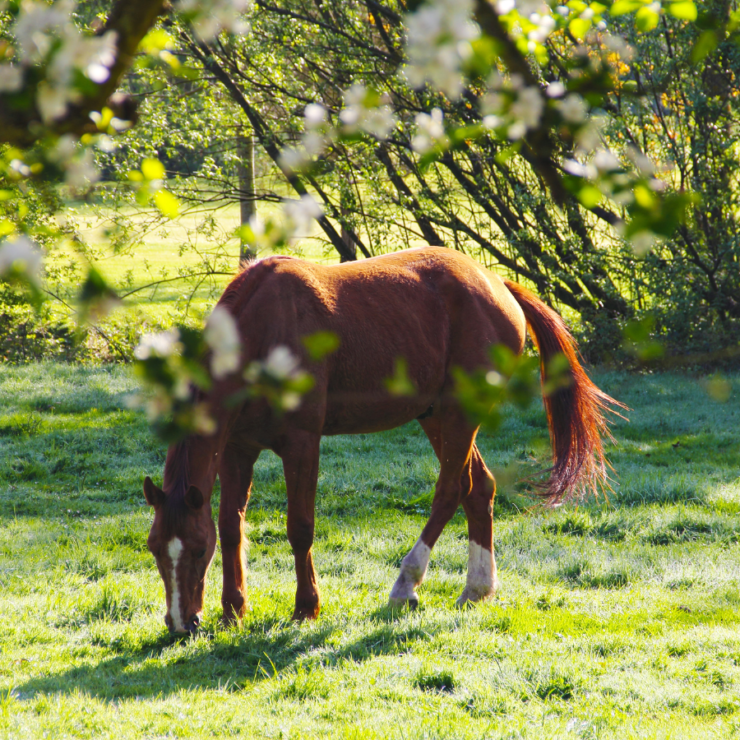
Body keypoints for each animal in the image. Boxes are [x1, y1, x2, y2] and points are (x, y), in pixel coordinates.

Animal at [142, 247, 616, 632]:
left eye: (197, 551)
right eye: (154, 550)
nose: (181, 625)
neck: (262, 333)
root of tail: (497, 283)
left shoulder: (301, 443)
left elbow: (300, 527)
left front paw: (305, 607)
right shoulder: (237, 449)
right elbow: (231, 525)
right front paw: (233, 610)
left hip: (460, 415)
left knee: (451, 490)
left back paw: (405, 585)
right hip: (436, 417)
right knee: (479, 488)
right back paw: (477, 588)